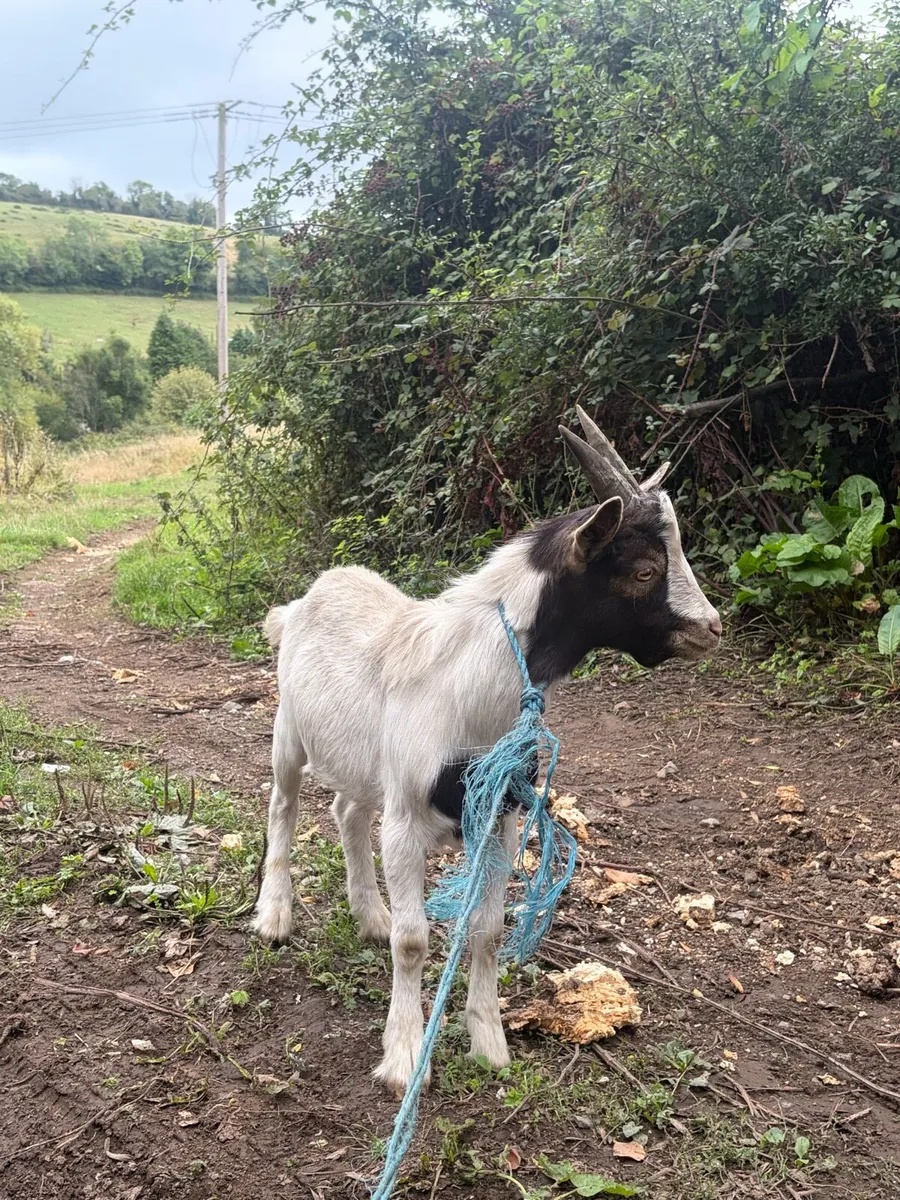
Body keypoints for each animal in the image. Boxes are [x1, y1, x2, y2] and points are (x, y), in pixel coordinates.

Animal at [252, 408, 721, 1094]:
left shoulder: (499, 815)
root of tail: (303, 601)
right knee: (283, 804)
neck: (469, 685)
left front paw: (489, 1042)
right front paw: (403, 1059)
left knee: (347, 810)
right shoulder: (407, 818)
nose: (712, 628)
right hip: (289, 726)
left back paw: (371, 915)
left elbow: (489, 929)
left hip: (366, 764)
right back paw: (275, 916)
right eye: (643, 571)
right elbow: (416, 941)